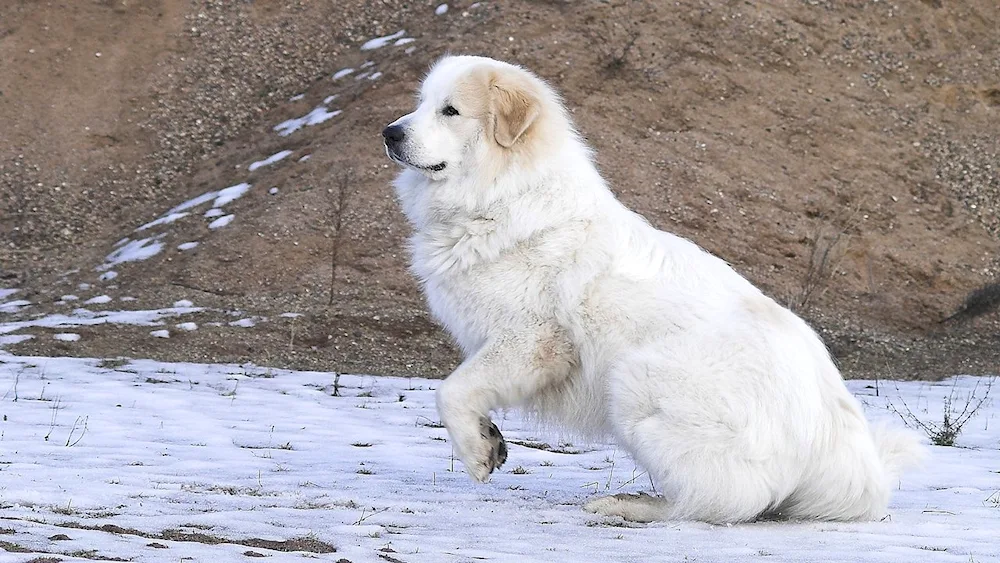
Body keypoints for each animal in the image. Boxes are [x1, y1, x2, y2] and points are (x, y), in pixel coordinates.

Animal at [380, 55, 920, 524]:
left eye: (450, 111)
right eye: (422, 102)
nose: (389, 131)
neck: (503, 196)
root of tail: (838, 445)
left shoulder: (531, 342)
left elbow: (451, 390)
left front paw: (475, 453)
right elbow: (465, 390)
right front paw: (490, 438)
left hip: (634, 380)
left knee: (724, 501)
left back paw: (632, 505)